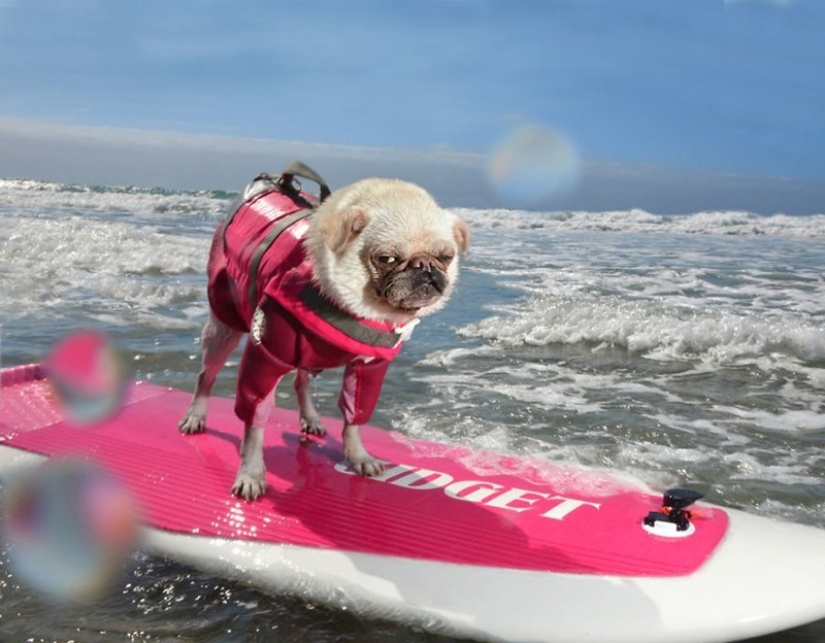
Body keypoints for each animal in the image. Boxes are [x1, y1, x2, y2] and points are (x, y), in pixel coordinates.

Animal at [177, 165, 466, 498]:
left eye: (446, 257)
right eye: (387, 258)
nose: (425, 266)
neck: (360, 307)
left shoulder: (369, 368)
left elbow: (355, 415)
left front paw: (357, 456)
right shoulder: (265, 356)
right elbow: (255, 421)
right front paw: (251, 472)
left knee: (300, 381)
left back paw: (311, 418)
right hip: (224, 325)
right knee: (206, 375)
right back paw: (195, 415)